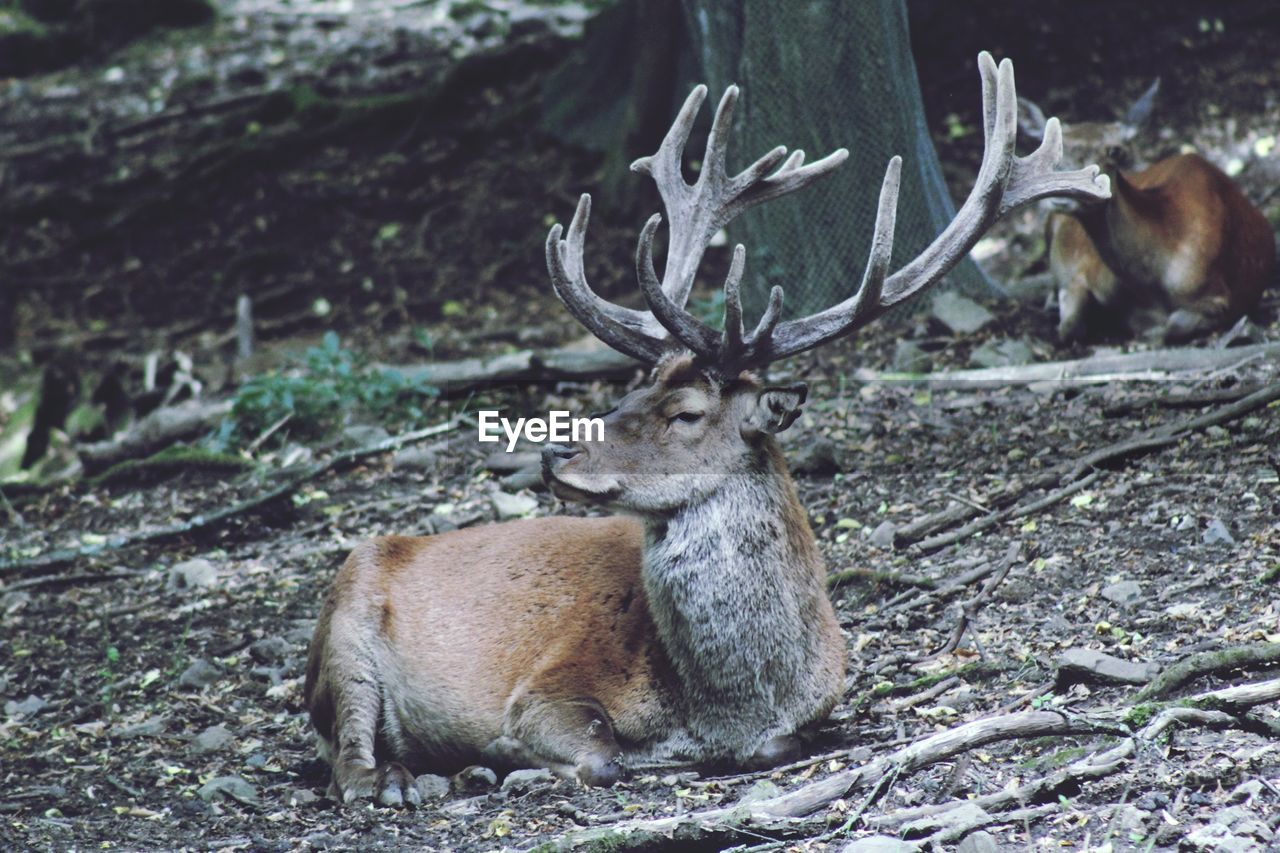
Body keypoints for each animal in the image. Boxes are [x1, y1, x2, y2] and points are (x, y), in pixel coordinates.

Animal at [304, 54, 1105, 804]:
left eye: (685, 411)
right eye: (632, 385)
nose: (557, 447)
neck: (734, 702)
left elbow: (773, 746)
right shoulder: (545, 687)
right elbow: (602, 756)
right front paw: (509, 760)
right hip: (344, 631)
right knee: (344, 757)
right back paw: (404, 776)